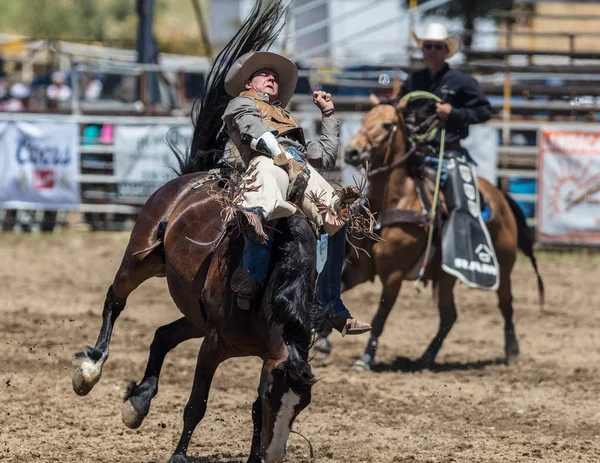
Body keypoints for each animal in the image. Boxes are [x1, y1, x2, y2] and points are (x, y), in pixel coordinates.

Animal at [340, 96, 548, 372]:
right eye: (364, 119)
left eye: (387, 125)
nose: (352, 151)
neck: (393, 200)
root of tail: (501, 196)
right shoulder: (359, 268)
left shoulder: (394, 274)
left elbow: (380, 316)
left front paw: (365, 359)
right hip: (446, 275)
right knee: (449, 316)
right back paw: (425, 358)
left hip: (503, 267)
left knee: (506, 305)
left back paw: (511, 351)